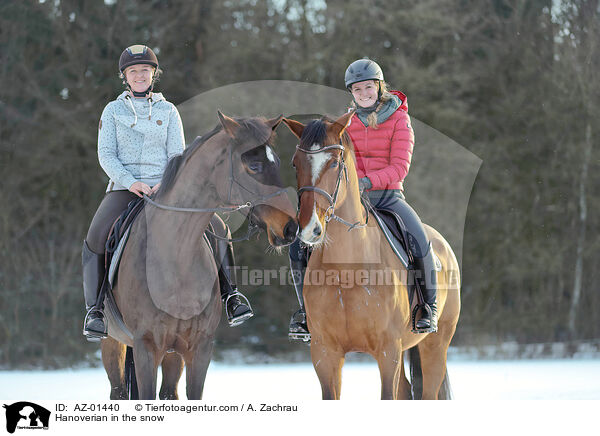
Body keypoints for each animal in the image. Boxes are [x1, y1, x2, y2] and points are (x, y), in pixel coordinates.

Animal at [99, 112, 298, 398]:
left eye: (278, 163)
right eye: (254, 166)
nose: (291, 228)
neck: (176, 256)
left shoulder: (200, 348)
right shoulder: (146, 347)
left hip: (172, 354)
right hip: (113, 343)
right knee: (117, 390)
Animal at [284, 114, 462, 400]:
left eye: (334, 163)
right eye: (295, 162)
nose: (308, 228)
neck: (346, 271)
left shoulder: (388, 351)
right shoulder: (324, 353)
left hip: (436, 344)